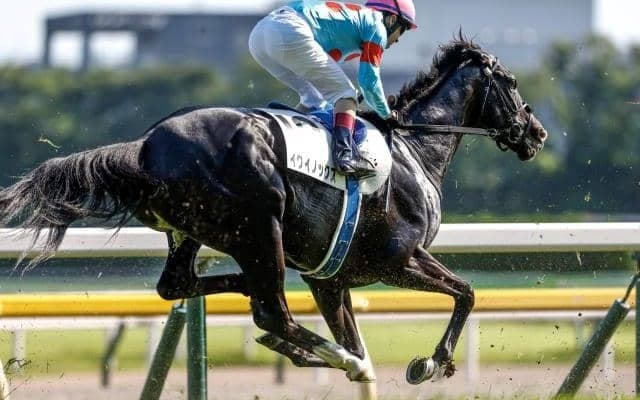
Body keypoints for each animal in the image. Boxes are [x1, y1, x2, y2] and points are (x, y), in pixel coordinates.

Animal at [0, 38, 548, 385]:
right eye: (511, 81)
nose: (537, 132)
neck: (413, 150)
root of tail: (145, 146)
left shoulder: (331, 281)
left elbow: (363, 333)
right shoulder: (399, 259)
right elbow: (467, 292)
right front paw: (433, 362)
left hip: (196, 233)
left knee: (180, 286)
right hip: (262, 225)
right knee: (273, 313)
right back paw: (325, 352)